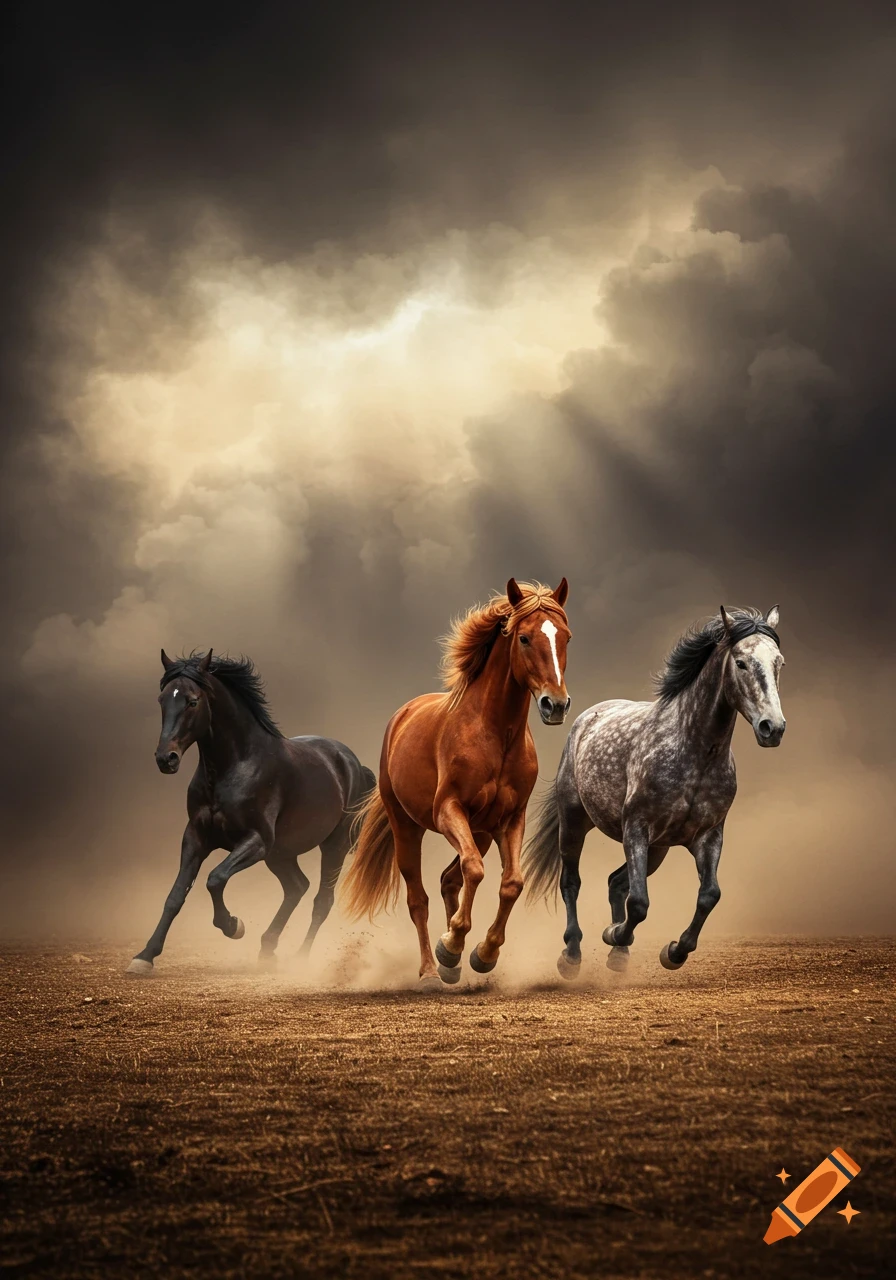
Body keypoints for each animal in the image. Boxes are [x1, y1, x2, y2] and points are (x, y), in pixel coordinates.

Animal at [126, 649, 375, 975]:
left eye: (193, 701)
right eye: (162, 699)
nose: (165, 759)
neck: (234, 767)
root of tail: (352, 762)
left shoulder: (256, 841)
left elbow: (215, 878)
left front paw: (233, 925)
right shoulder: (195, 837)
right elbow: (176, 895)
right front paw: (144, 956)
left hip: (333, 846)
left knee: (321, 899)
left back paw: (300, 958)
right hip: (281, 854)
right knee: (297, 887)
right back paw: (268, 948)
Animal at [341, 578, 571, 989]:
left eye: (566, 637)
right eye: (525, 638)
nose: (555, 705)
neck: (496, 735)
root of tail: (402, 716)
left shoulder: (510, 819)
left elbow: (511, 882)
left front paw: (482, 953)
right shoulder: (449, 810)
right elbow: (475, 871)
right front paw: (450, 945)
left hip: (479, 830)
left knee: (451, 878)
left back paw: (452, 963)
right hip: (408, 827)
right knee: (419, 898)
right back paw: (432, 969)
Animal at [523, 606, 785, 977]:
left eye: (779, 662)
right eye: (741, 663)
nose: (772, 728)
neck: (696, 753)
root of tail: (585, 718)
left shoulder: (708, 836)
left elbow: (709, 895)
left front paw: (674, 951)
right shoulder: (636, 828)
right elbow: (639, 902)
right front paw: (613, 933)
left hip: (658, 849)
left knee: (615, 881)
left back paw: (619, 956)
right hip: (574, 823)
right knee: (572, 882)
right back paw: (572, 955)